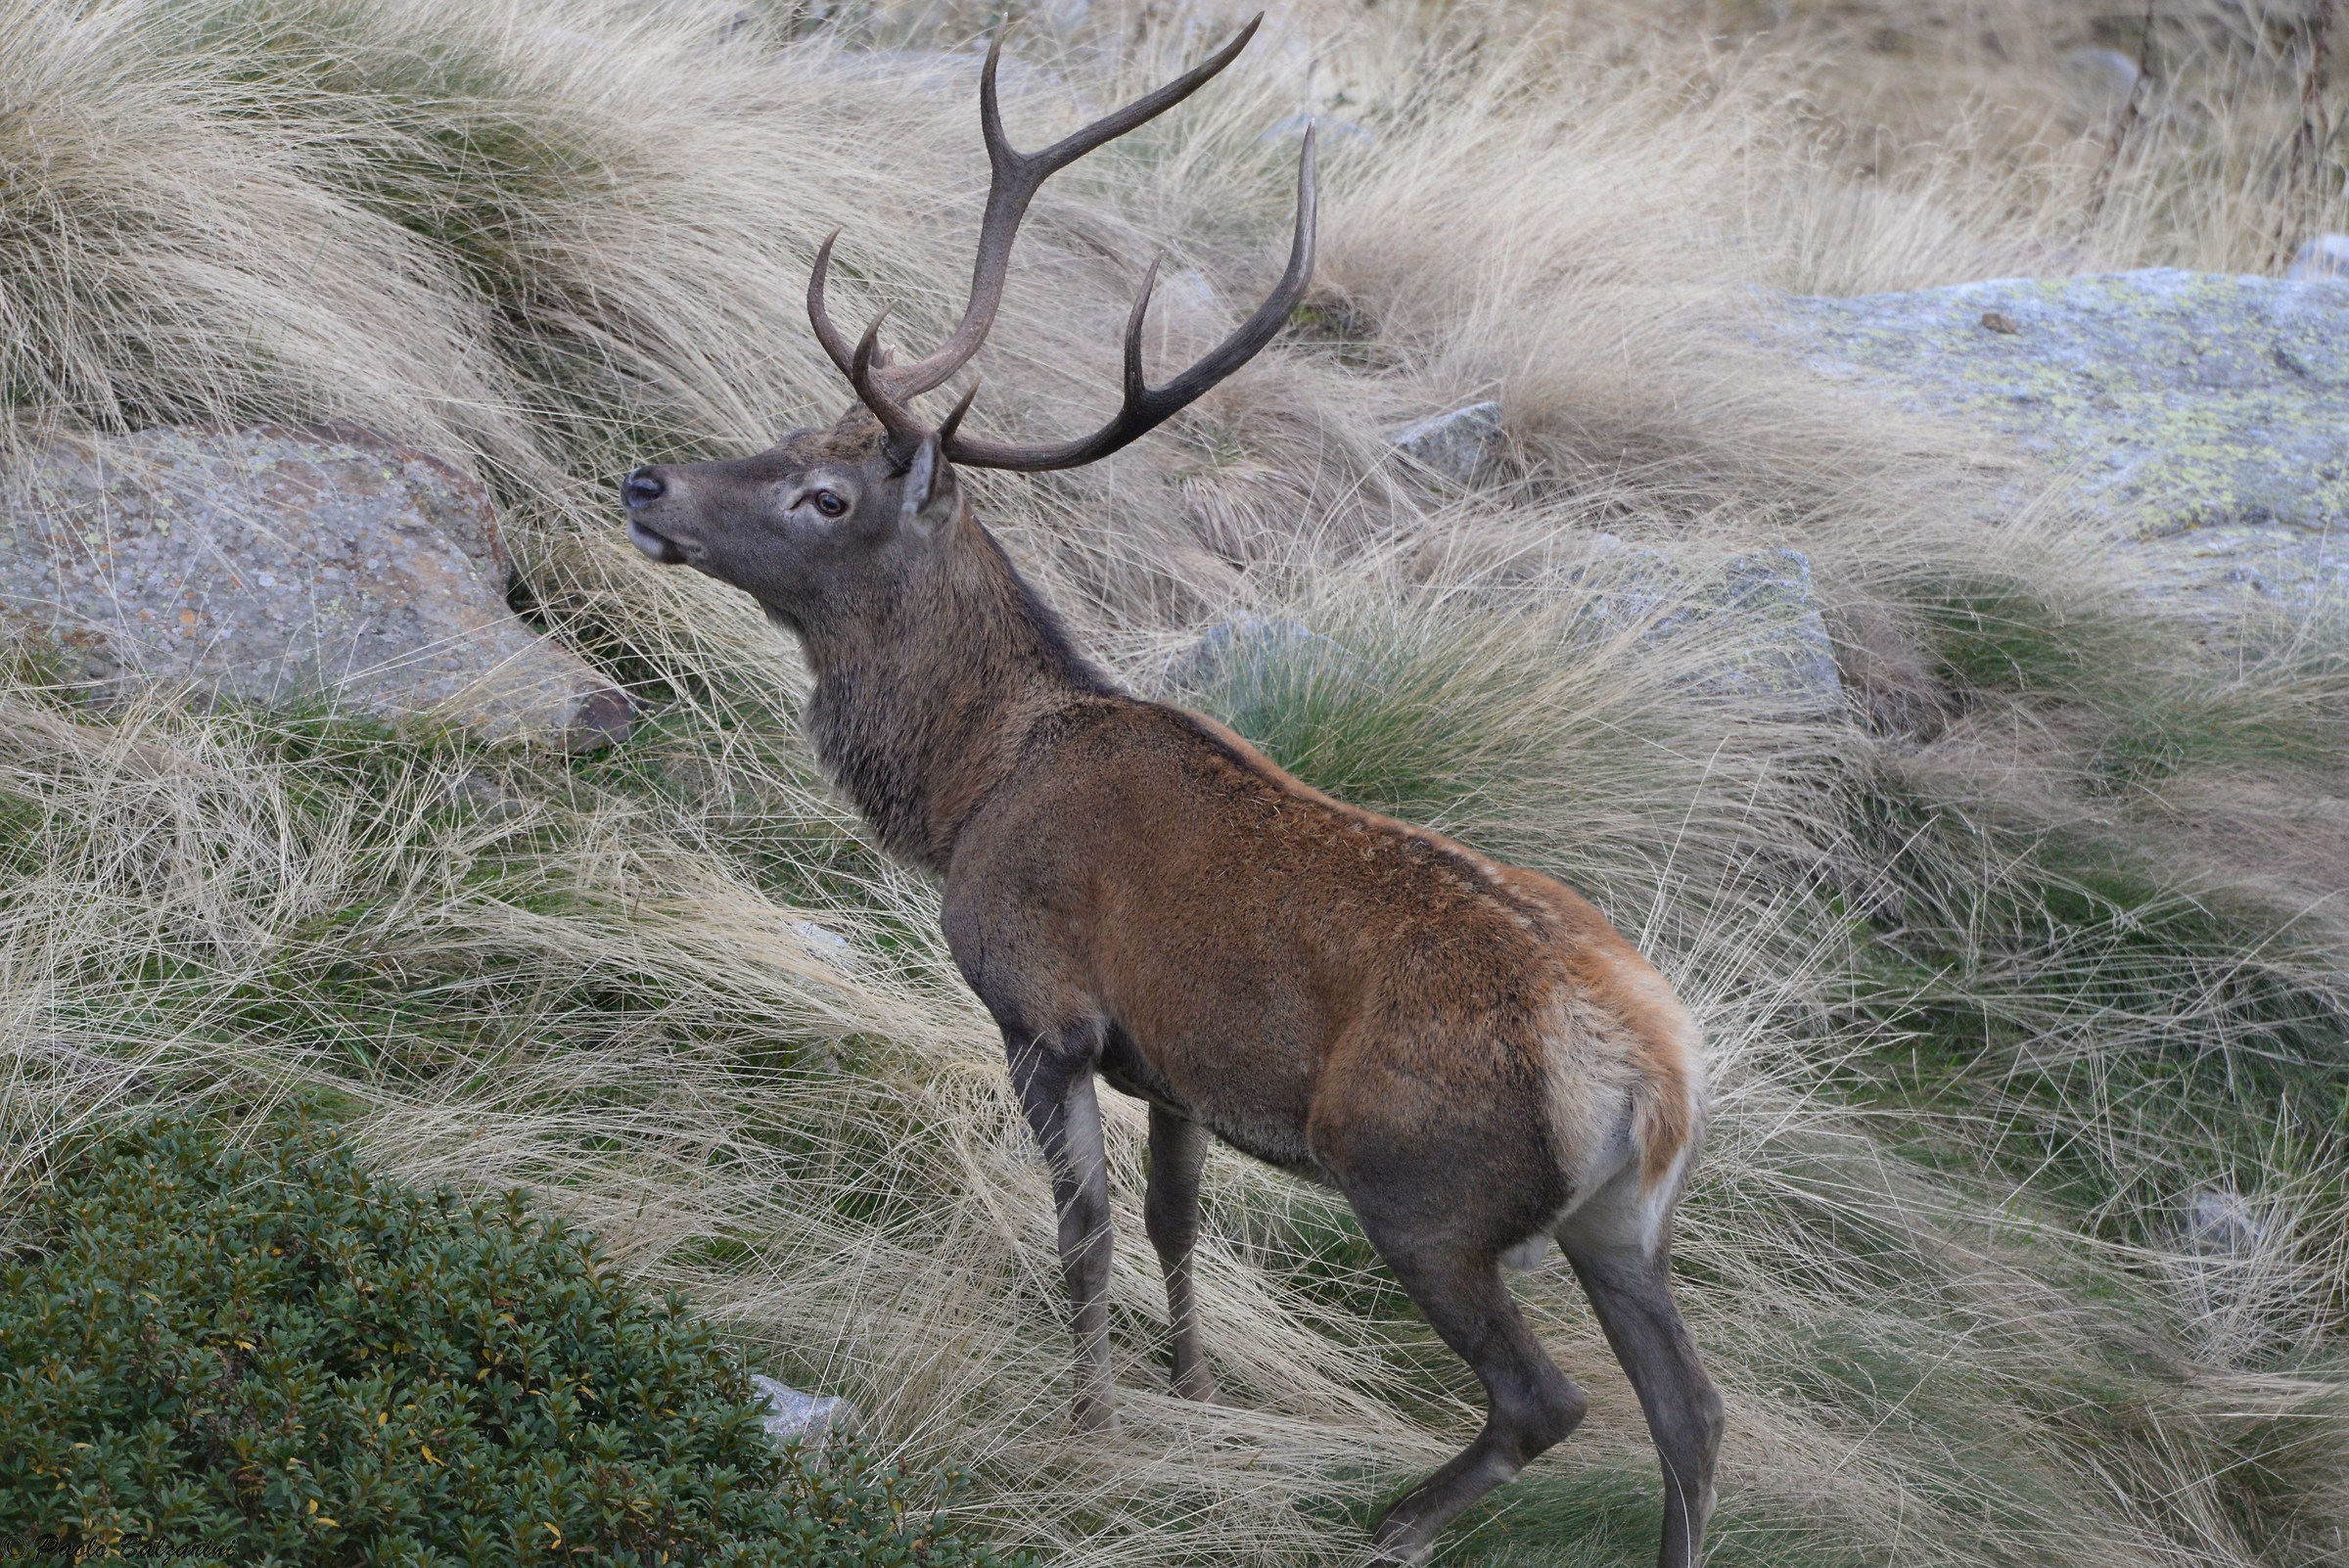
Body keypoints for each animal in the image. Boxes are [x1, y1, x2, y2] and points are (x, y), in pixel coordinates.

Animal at [618, 19, 1722, 1565]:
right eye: (783, 436)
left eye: (826, 499)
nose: (646, 482)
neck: (970, 789)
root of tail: (1655, 1072)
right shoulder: (1181, 1063)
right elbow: (1173, 1223)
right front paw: (1189, 1391)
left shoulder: (1045, 1008)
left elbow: (1082, 1233)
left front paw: (1087, 1421)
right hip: (1624, 1223)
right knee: (1691, 1417)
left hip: (1423, 1189)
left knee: (1548, 1402)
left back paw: (1388, 1522)